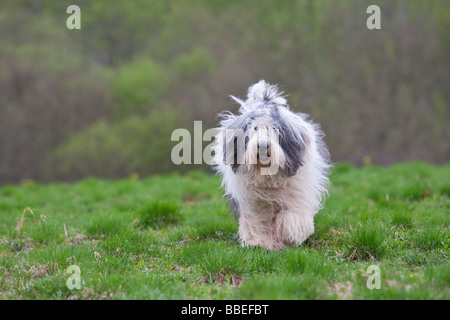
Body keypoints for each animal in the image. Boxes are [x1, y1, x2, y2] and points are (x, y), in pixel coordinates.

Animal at [211, 80, 330, 250]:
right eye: (254, 128)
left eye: (274, 128)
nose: (262, 145)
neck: (266, 177)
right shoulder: (254, 202)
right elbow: (257, 222)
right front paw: (260, 243)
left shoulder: (297, 193)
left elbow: (293, 214)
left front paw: (290, 235)